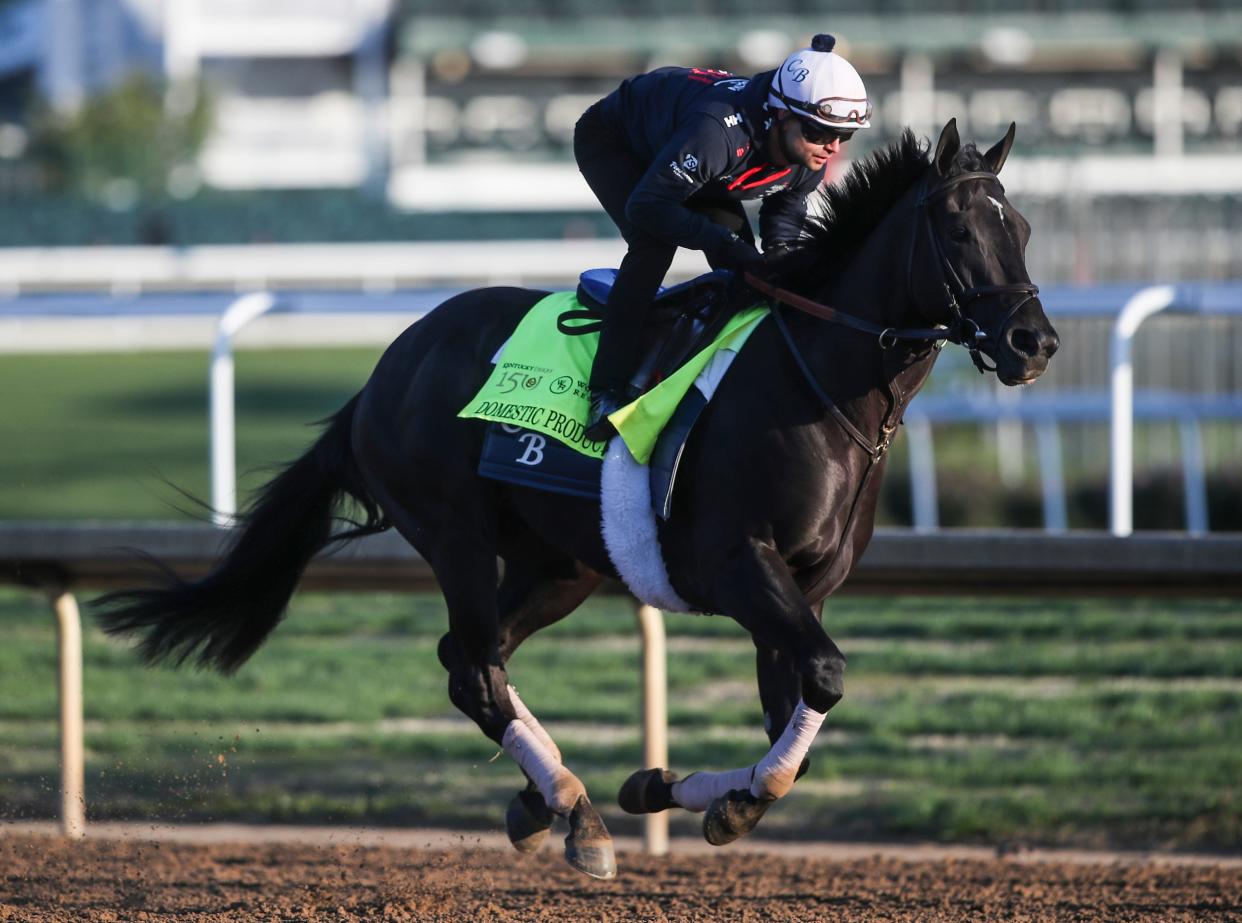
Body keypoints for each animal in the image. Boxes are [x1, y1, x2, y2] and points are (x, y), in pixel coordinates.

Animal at [101, 122, 1063, 879]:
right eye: (957, 226)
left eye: (1020, 225)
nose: (1033, 341)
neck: (819, 384)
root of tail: (384, 370)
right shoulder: (737, 564)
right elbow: (824, 675)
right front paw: (681, 794)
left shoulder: (804, 590)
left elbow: (792, 713)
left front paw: (681, 788)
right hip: (453, 532)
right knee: (477, 670)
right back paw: (575, 807)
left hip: (559, 565)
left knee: (469, 658)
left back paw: (545, 805)